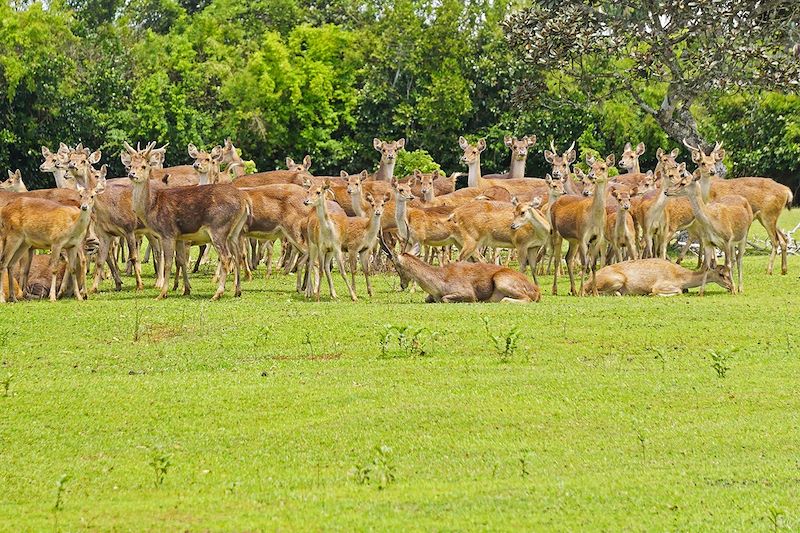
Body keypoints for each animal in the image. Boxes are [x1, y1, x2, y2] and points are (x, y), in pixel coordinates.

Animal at [378, 234, 540, 304]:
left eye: (396, 266)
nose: (402, 285)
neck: (438, 282)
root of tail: (537, 290)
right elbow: (428, 299)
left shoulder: (467, 292)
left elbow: (445, 299)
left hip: (501, 280)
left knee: (524, 299)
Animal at [548, 153, 616, 296]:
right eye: (592, 166)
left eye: (603, 167)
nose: (591, 175)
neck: (594, 219)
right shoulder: (583, 236)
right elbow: (585, 263)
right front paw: (582, 292)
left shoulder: (597, 238)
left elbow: (593, 264)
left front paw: (595, 292)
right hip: (556, 231)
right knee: (557, 259)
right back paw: (555, 289)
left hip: (573, 239)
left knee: (568, 258)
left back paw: (572, 289)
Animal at [584, 258, 736, 296]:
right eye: (721, 274)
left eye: (730, 272)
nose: (731, 287)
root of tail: (586, 282)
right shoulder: (659, 284)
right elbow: (678, 291)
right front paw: (650, 294)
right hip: (617, 279)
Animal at [664, 166, 752, 294]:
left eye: (683, 183)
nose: (666, 191)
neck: (712, 222)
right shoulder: (708, 241)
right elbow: (707, 266)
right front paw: (701, 292)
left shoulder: (727, 239)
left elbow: (728, 264)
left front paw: (733, 290)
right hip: (732, 243)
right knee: (734, 258)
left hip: (744, 235)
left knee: (739, 259)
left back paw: (740, 288)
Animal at [680, 139, 792, 274]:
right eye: (702, 163)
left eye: (714, 162)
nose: (712, 171)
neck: (707, 197)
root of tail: (787, 191)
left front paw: (716, 266)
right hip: (770, 216)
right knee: (784, 239)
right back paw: (784, 270)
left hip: (768, 215)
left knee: (775, 241)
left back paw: (769, 270)